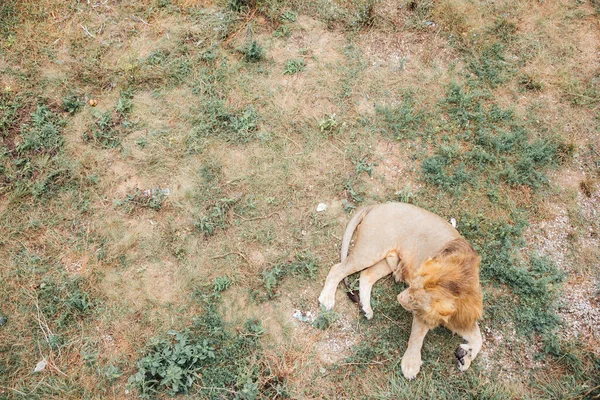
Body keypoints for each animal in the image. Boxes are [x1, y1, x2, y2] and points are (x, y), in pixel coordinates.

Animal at [318, 203, 482, 378]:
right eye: (412, 285)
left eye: (414, 299)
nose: (399, 299)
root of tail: (377, 205)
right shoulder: (422, 315)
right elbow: (417, 336)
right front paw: (411, 364)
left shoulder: (461, 317)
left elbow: (478, 338)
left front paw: (465, 356)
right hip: (369, 251)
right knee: (337, 269)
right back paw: (327, 299)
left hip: (389, 261)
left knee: (366, 275)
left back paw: (365, 308)